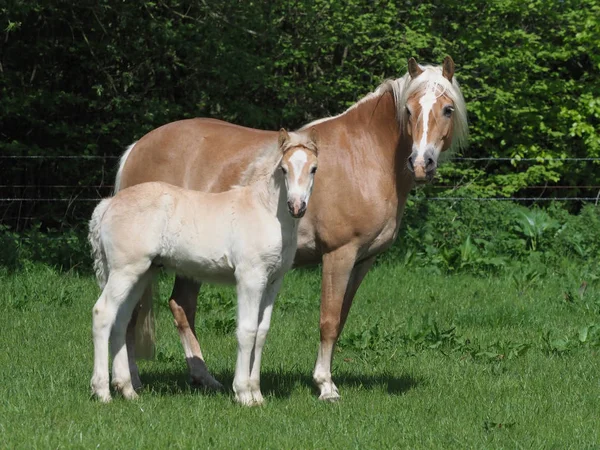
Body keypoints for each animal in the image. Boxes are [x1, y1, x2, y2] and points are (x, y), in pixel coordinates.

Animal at [88, 128, 318, 406]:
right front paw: (243, 393)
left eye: (314, 168)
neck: (264, 210)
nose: (296, 207)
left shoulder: (273, 281)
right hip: (125, 271)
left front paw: (258, 394)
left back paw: (127, 390)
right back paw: (102, 391)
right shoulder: (250, 278)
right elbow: (247, 330)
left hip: (141, 273)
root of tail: (108, 204)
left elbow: (261, 332)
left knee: (121, 320)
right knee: (103, 313)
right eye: (284, 169)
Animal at [115, 55, 466, 400]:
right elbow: (328, 320)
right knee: (130, 315)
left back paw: (204, 379)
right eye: (409, 110)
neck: (362, 156)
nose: (421, 164)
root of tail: (135, 149)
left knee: (180, 307)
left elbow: (341, 318)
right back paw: (132, 383)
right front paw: (325, 386)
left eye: (447, 109)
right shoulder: (339, 254)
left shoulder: (363, 261)